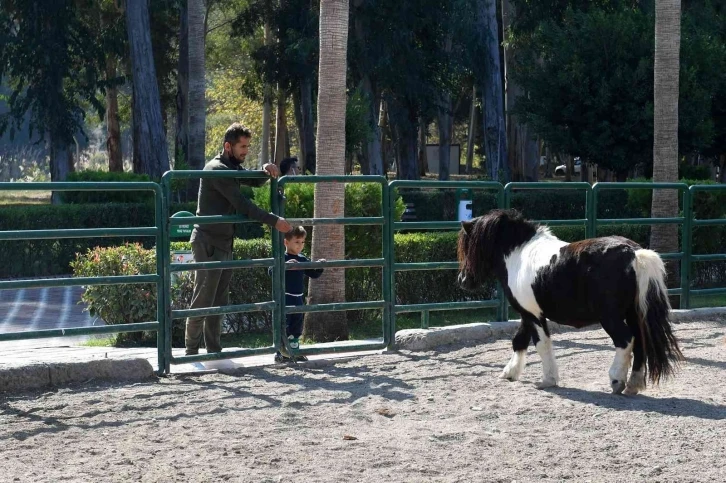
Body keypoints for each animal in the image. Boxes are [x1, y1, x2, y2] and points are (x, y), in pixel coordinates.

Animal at [458, 210, 684, 396]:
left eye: (469, 247)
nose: (463, 280)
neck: (519, 255)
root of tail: (633, 253)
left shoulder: (534, 315)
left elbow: (541, 343)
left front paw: (548, 380)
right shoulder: (527, 313)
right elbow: (519, 340)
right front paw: (510, 372)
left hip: (610, 318)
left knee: (626, 340)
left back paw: (616, 381)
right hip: (634, 314)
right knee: (640, 342)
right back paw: (633, 385)